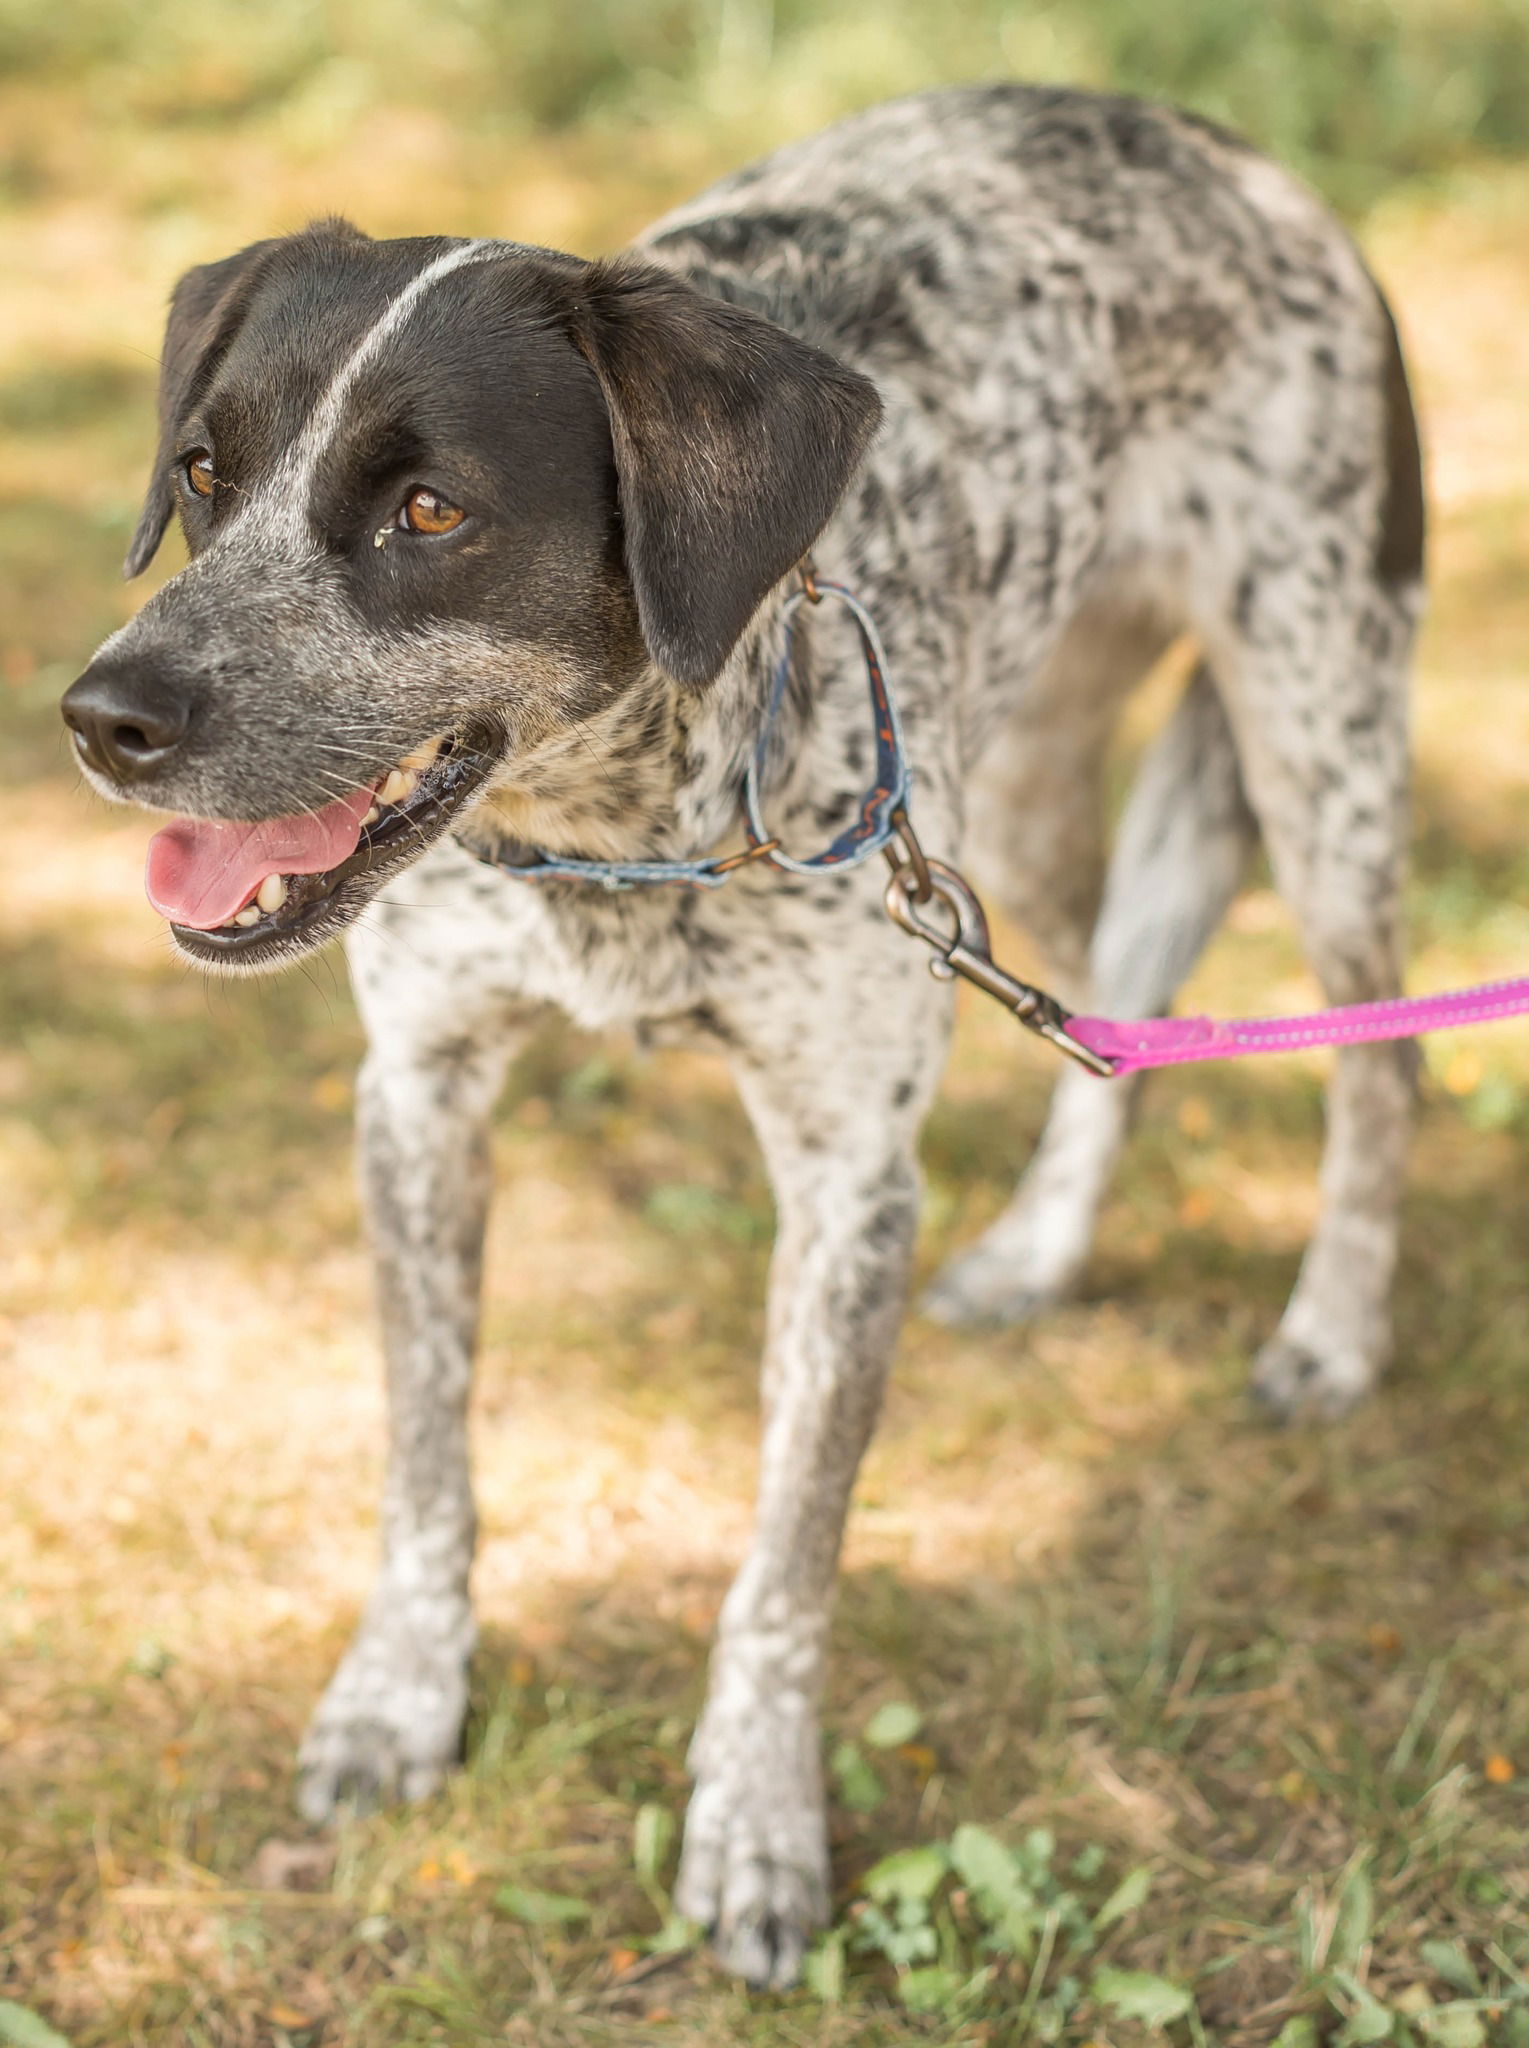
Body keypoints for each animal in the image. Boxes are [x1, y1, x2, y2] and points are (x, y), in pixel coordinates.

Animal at [59, 88, 1424, 1990]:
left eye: (429, 509)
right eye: (200, 472)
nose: (104, 716)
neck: (620, 832)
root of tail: (1217, 145)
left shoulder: (849, 1180)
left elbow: (781, 1567)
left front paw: (755, 1828)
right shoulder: (419, 1097)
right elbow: (427, 1461)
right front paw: (397, 1700)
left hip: (1318, 746)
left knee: (1379, 1062)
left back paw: (1329, 1332)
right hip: (1016, 801)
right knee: (1119, 1005)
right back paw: (1040, 1250)